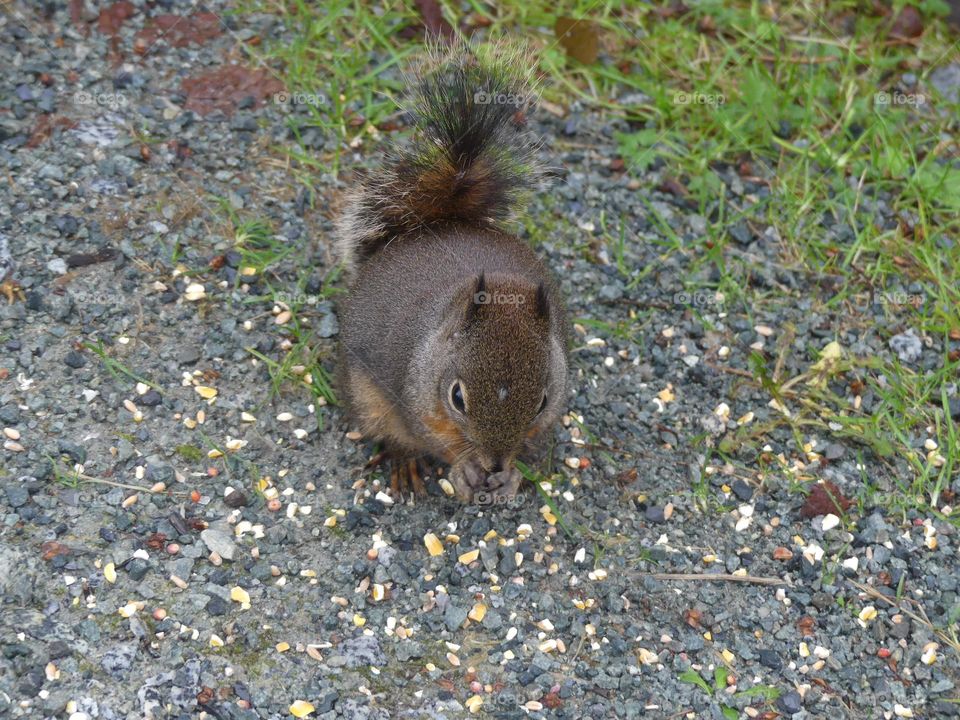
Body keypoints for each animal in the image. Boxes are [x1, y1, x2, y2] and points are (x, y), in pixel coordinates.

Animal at [336, 41, 568, 503]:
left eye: (542, 400)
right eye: (457, 397)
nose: (494, 463)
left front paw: (510, 474)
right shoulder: (417, 401)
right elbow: (435, 439)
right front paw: (464, 468)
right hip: (367, 397)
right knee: (389, 433)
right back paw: (406, 463)